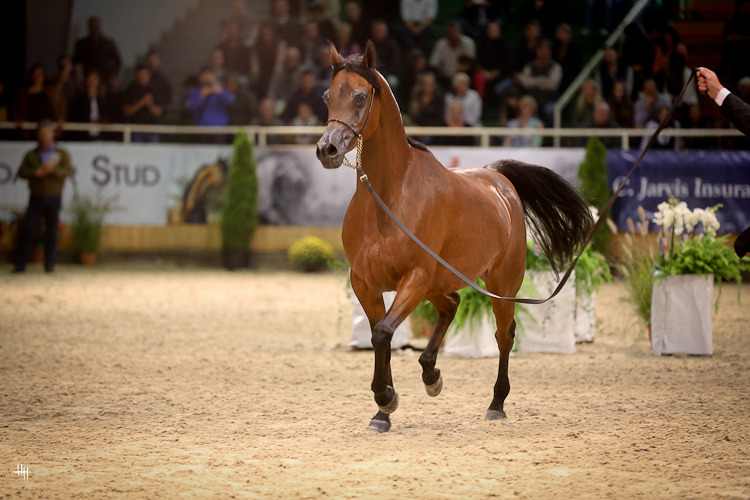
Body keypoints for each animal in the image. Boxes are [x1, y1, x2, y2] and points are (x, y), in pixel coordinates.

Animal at [316, 41, 594, 433]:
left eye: (360, 95)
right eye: (328, 95)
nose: (327, 149)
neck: (390, 197)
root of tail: (499, 179)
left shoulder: (414, 278)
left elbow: (383, 333)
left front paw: (386, 398)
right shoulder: (365, 282)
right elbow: (379, 337)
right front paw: (382, 412)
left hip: (500, 284)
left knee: (503, 335)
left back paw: (496, 403)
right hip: (440, 281)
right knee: (452, 305)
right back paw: (431, 374)